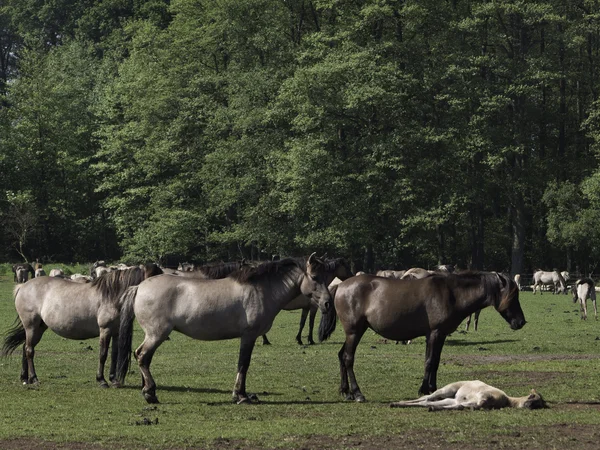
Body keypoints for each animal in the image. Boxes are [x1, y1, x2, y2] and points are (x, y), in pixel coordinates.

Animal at [1, 264, 163, 386]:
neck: (112, 295)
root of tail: (22, 286)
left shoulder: (116, 332)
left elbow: (114, 354)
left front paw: (113, 379)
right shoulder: (105, 330)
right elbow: (103, 354)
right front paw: (101, 380)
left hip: (39, 327)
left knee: (25, 348)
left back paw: (25, 378)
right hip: (31, 326)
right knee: (29, 350)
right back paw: (34, 378)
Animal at [116, 253, 332, 404]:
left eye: (326, 275)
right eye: (314, 276)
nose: (328, 303)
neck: (261, 290)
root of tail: (139, 287)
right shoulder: (249, 336)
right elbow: (243, 364)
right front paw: (240, 396)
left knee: (144, 357)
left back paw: (149, 391)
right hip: (157, 334)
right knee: (142, 356)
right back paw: (150, 393)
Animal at [318, 270, 524, 400]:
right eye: (513, 296)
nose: (521, 322)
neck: (452, 294)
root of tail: (341, 286)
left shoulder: (438, 335)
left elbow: (435, 361)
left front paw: (432, 389)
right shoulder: (434, 333)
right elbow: (430, 361)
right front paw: (425, 389)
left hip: (355, 332)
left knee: (341, 356)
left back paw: (345, 391)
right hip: (354, 332)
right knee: (348, 358)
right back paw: (357, 393)